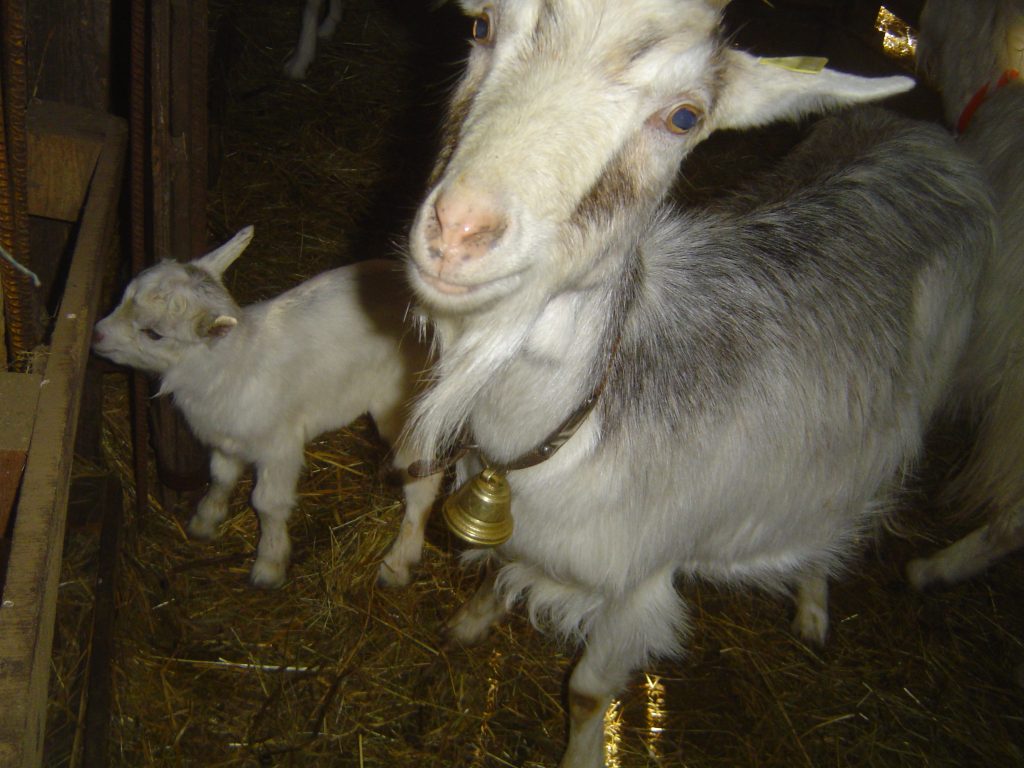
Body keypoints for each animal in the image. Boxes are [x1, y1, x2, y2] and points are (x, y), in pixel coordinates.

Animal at [92, 226, 441, 589]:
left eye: (154, 334)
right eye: (124, 296)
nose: (97, 336)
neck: (233, 364)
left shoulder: (279, 447)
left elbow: (267, 504)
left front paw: (269, 564)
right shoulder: (225, 438)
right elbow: (220, 476)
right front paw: (206, 518)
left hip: (405, 404)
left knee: (424, 476)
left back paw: (398, 562)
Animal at [402, 1, 995, 765]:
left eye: (684, 117)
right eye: (481, 29)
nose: (460, 229)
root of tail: (927, 137)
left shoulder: (639, 585)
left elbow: (588, 691)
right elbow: (495, 577)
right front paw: (472, 623)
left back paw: (813, 606)